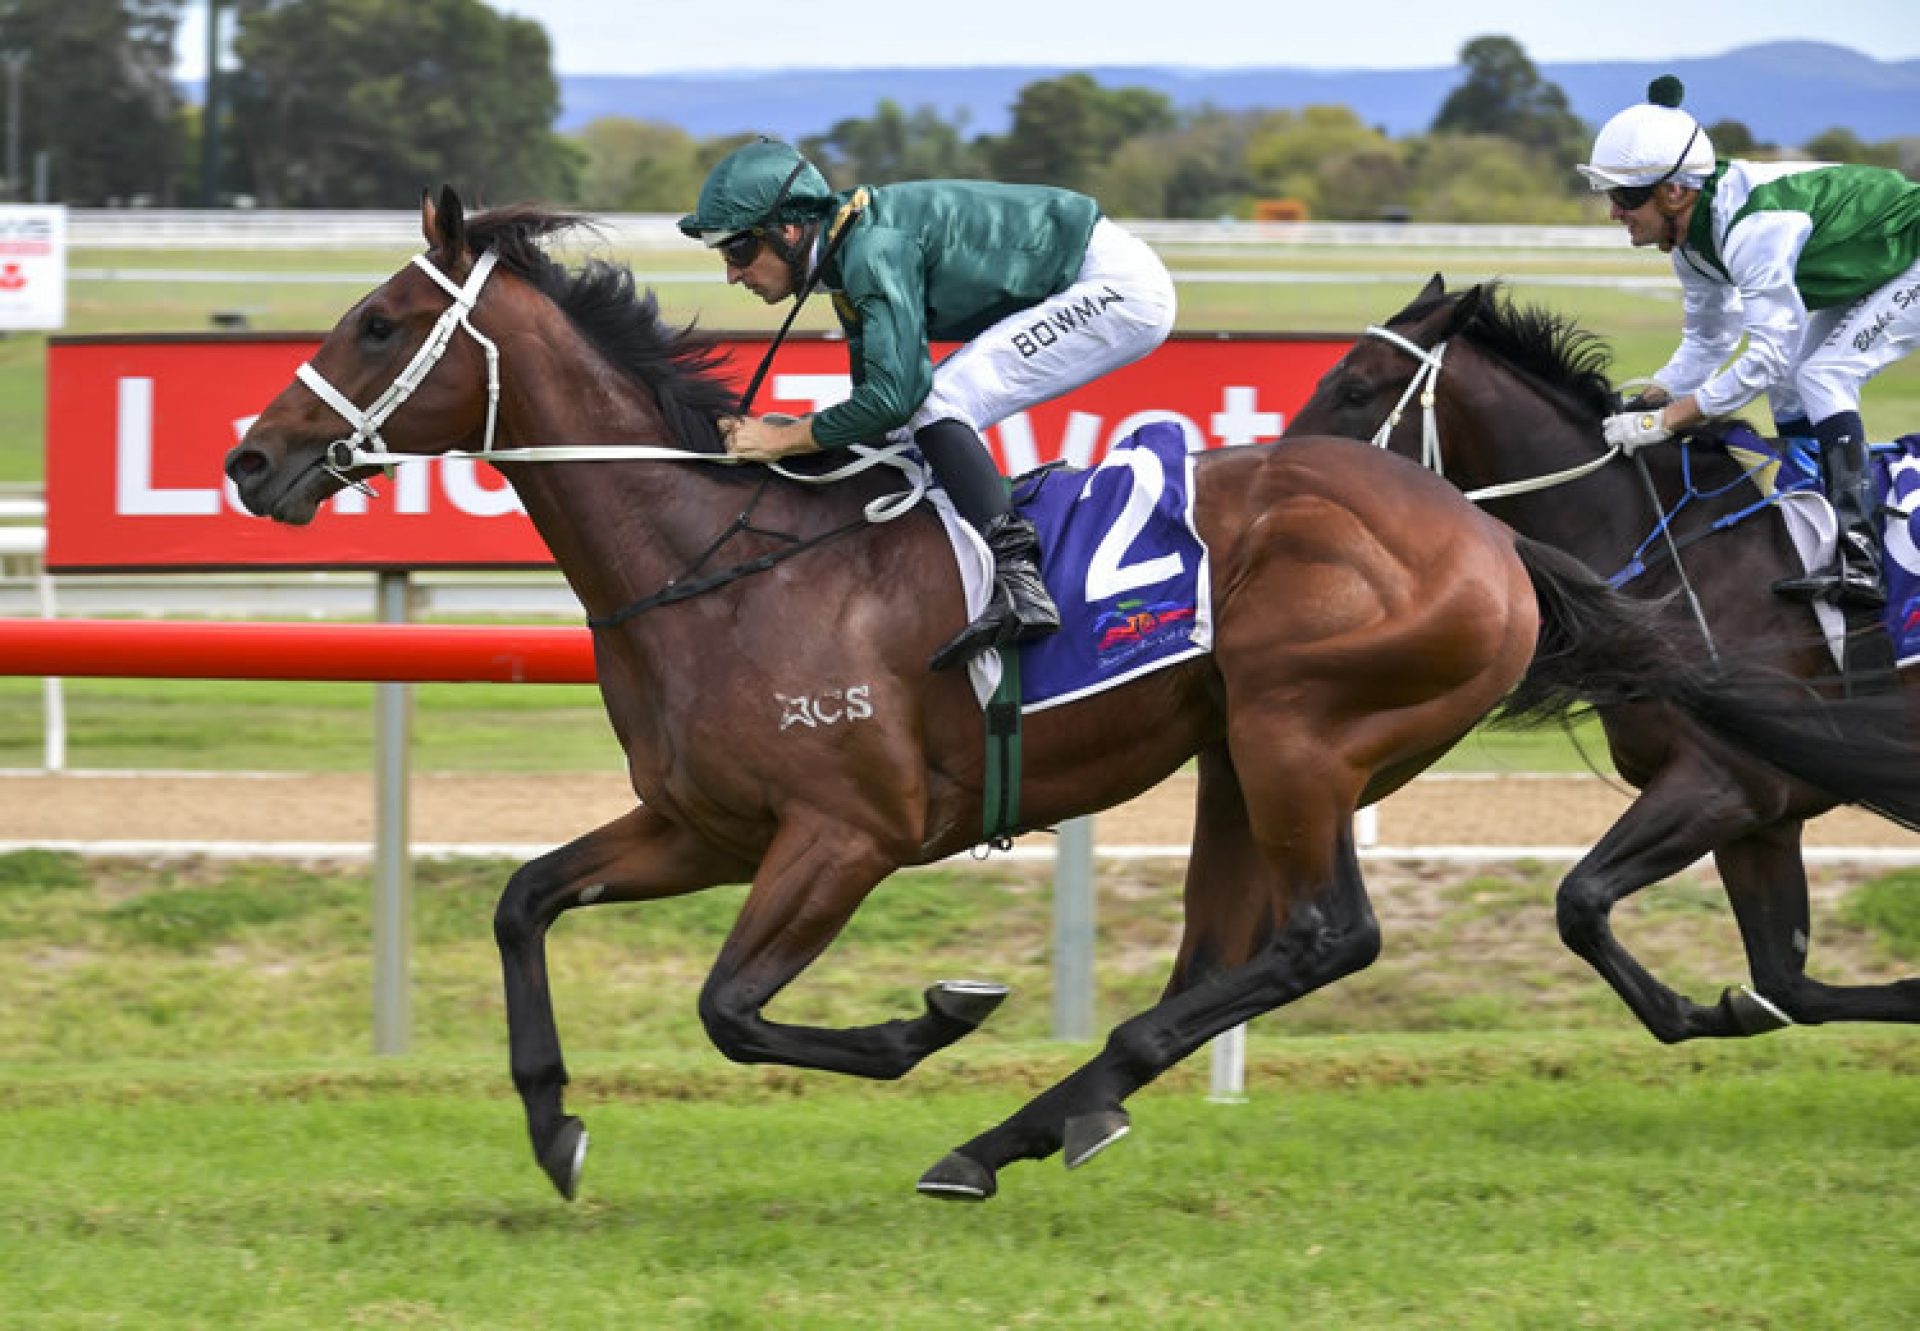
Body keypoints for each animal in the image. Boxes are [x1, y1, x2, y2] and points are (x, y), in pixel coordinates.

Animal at [224, 192, 1843, 1198]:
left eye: (378, 322)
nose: (250, 459)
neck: (720, 562)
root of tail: (1488, 532)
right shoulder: (701, 826)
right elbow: (523, 901)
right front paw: (555, 1123)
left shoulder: (844, 836)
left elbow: (731, 1007)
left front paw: (926, 1019)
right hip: (1239, 756)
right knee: (1231, 953)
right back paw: (1060, 1113)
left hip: (1302, 732)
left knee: (1327, 934)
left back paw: (1009, 1125)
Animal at [1290, 278, 1920, 1052]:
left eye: (1354, 388)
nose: (1282, 468)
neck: (1672, 555)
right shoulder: (1762, 816)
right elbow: (1783, 985)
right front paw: (1724, 1009)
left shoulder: (1723, 780)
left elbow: (1580, 898)